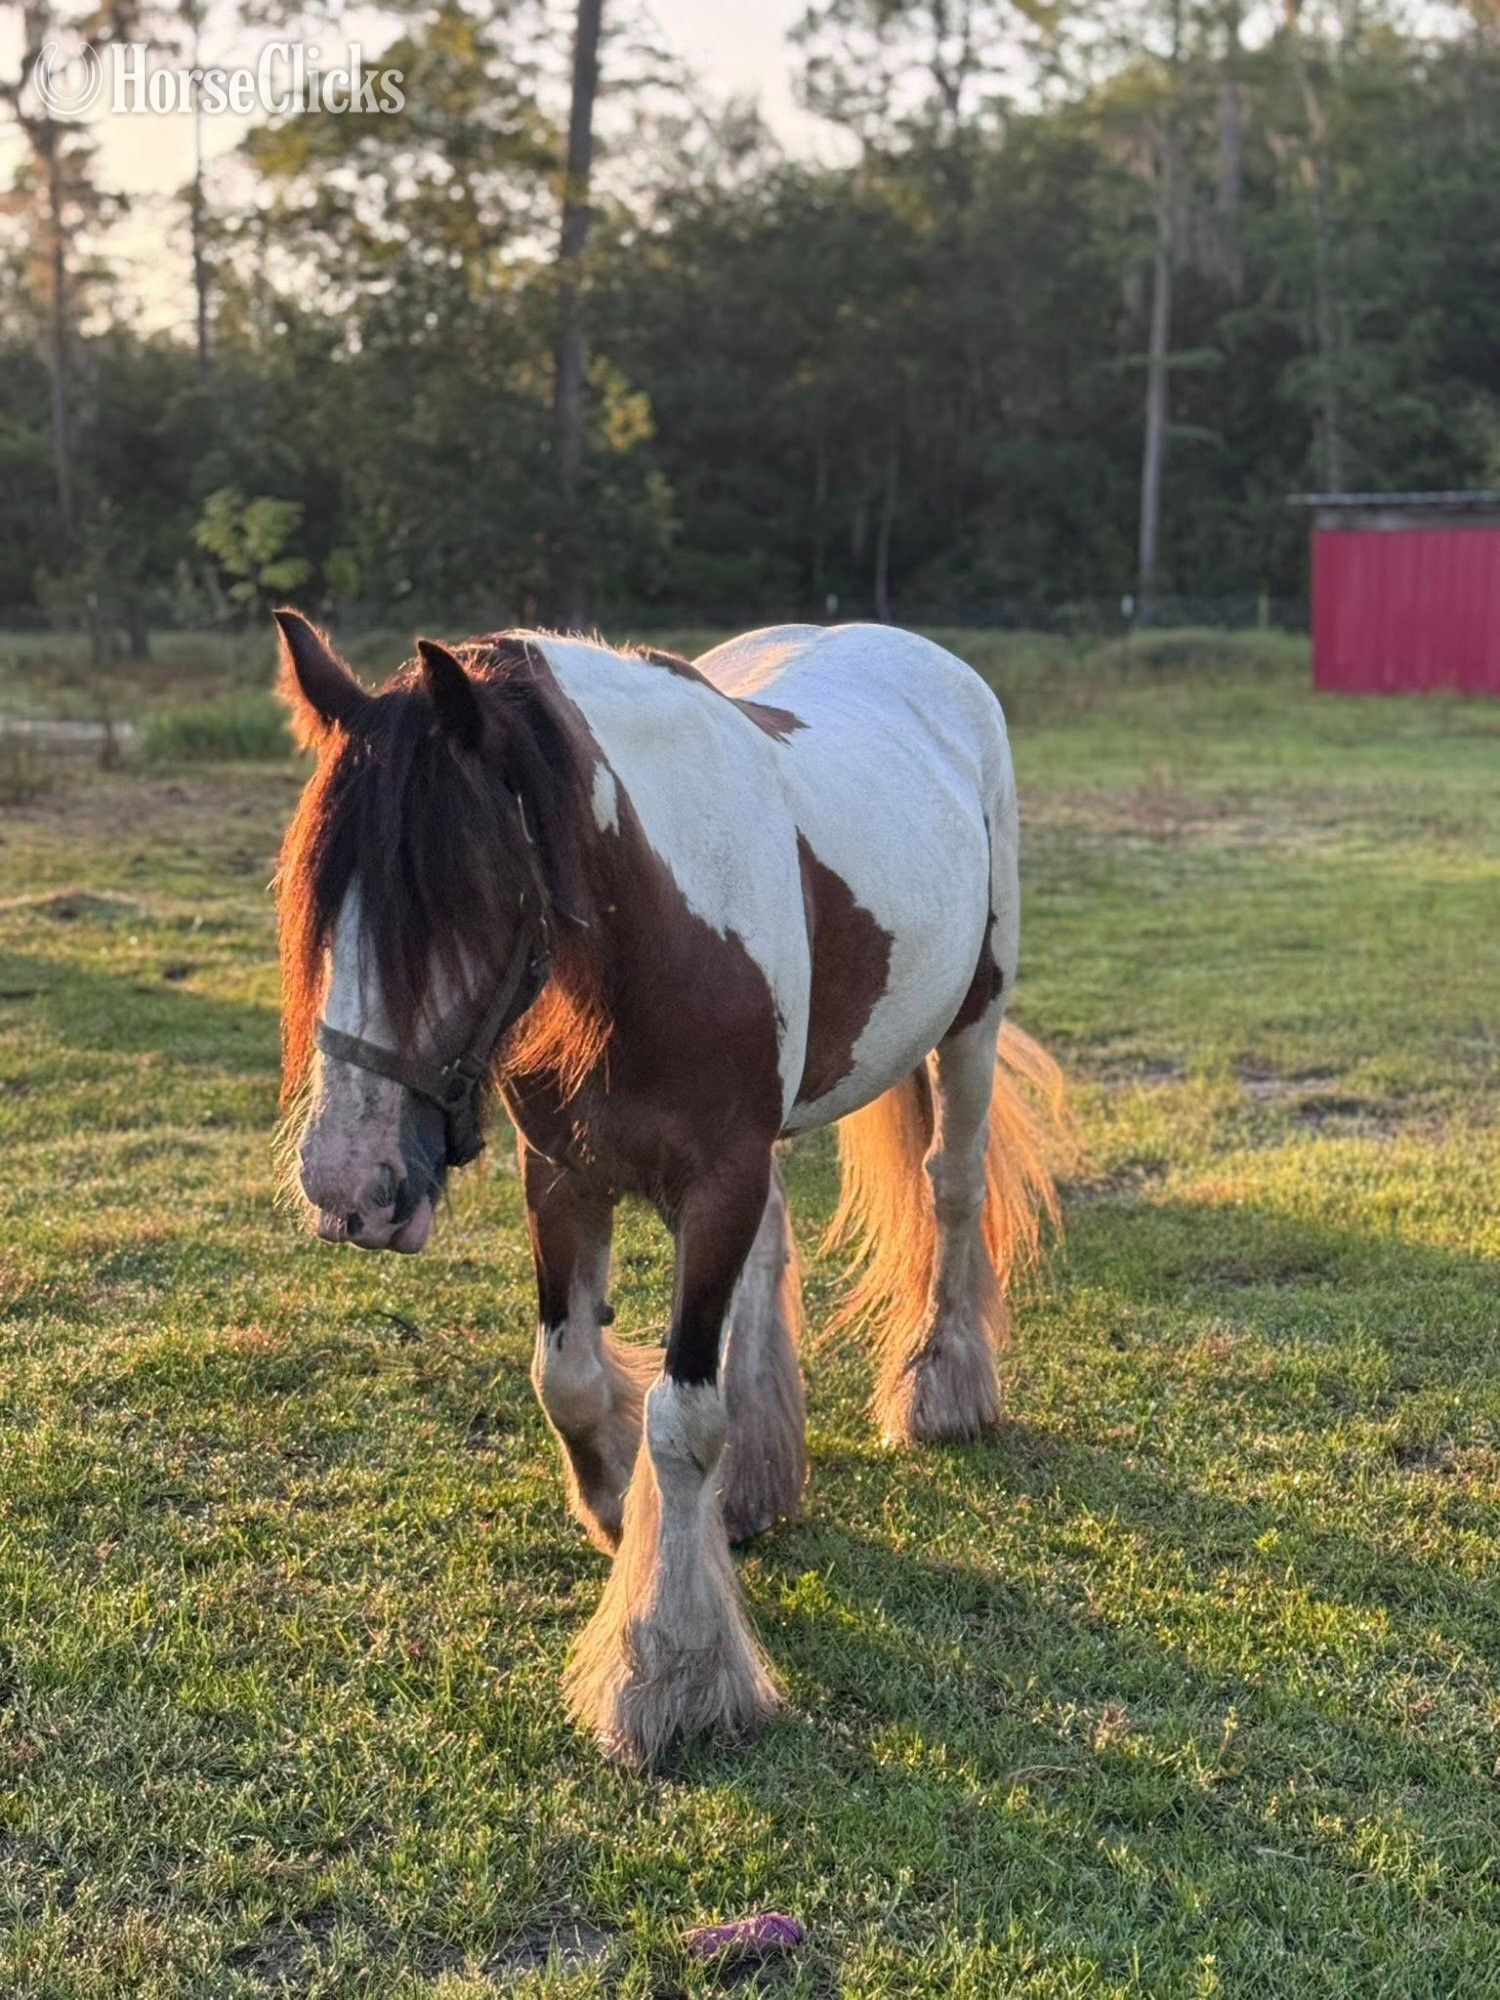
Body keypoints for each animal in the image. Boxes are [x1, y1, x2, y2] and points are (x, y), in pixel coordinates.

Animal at [273, 609, 1072, 1767]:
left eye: (467, 900)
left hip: (974, 1020)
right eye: (320, 904)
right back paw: (762, 1475)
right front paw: (618, 1510)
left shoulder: (718, 1178)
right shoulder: (563, 1176)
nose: (346, 1183)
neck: (653, 931)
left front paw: (670, 1666)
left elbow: (683, 1419)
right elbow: (564, 1375)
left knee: (952, 1189)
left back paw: (940, 1386)